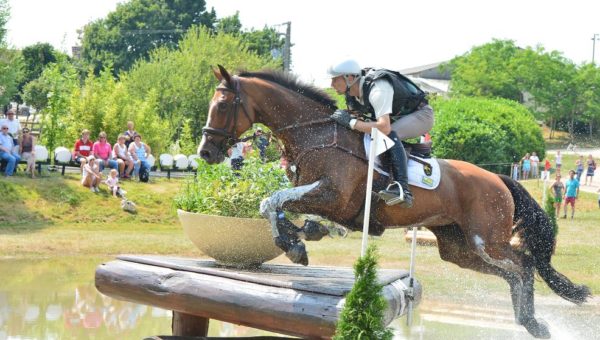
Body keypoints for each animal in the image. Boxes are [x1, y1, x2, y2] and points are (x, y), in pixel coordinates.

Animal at [198, 65, 592, 338]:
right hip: (459, 248)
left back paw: (533, 322)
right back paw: (528, 322)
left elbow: (273, 200)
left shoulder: (331, 195)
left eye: (223, 105)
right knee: (512, 273)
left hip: (487, 240)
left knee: (524, 264)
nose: (205, 152)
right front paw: (301, 238)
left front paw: (295, 242)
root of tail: (499, 178)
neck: (316, 135)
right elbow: (277, 206)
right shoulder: (320, 197)